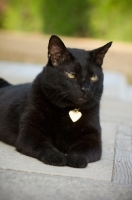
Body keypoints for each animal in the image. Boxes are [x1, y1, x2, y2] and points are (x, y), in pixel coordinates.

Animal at [0, 35, 112, 167]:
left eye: (93, 77)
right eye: (71, 74)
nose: (85, 89)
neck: (68, 111)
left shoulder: (92, 137)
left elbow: (82, 149)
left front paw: (76, 158)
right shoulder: (30, 131)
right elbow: (44, 145)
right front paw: (56, 156)